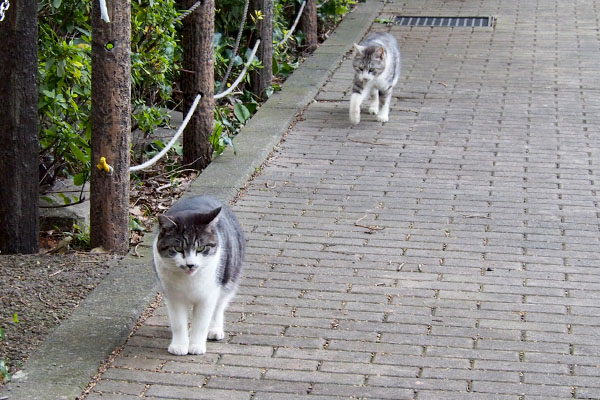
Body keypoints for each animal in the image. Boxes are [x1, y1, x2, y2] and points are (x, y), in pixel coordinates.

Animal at [154, 195, 245, 354]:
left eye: (201, 248)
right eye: (178, 248)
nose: (190, 264)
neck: (188, 280)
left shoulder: (208, 295)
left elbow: (202, 322)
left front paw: (196, 345)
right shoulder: (173, 296)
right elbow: (178, 323)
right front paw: (179, 345)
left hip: (229, 277)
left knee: (219, 306)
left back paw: (214, 329)